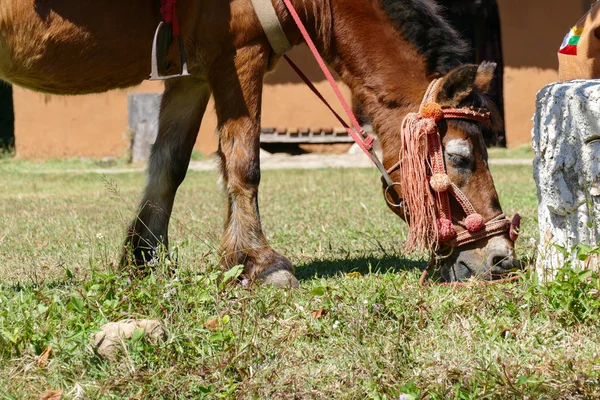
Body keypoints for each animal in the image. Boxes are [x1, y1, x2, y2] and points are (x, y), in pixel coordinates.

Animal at [0, 0, 516, 286]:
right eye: (458, 157)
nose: (500, 259)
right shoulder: (238, 55)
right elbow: (244, 162)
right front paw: (261, 262)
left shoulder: (193, 71)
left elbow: (170, 164)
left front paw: (144, 258)